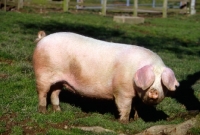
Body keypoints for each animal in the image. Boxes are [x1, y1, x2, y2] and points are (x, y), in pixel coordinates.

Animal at [33, 30, 180, 122]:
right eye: (151, 79)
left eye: (162, 83)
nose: (154, 91)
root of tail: (43, 38)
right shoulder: (122, 91)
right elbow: (125, 106)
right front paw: (124, 122)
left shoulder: (136, 96)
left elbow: (137, 107)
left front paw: (136, 119)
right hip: (42, 73)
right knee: (43, 92)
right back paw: (43, 111)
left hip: (59, 80)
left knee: (55, 93)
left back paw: (58, 111)